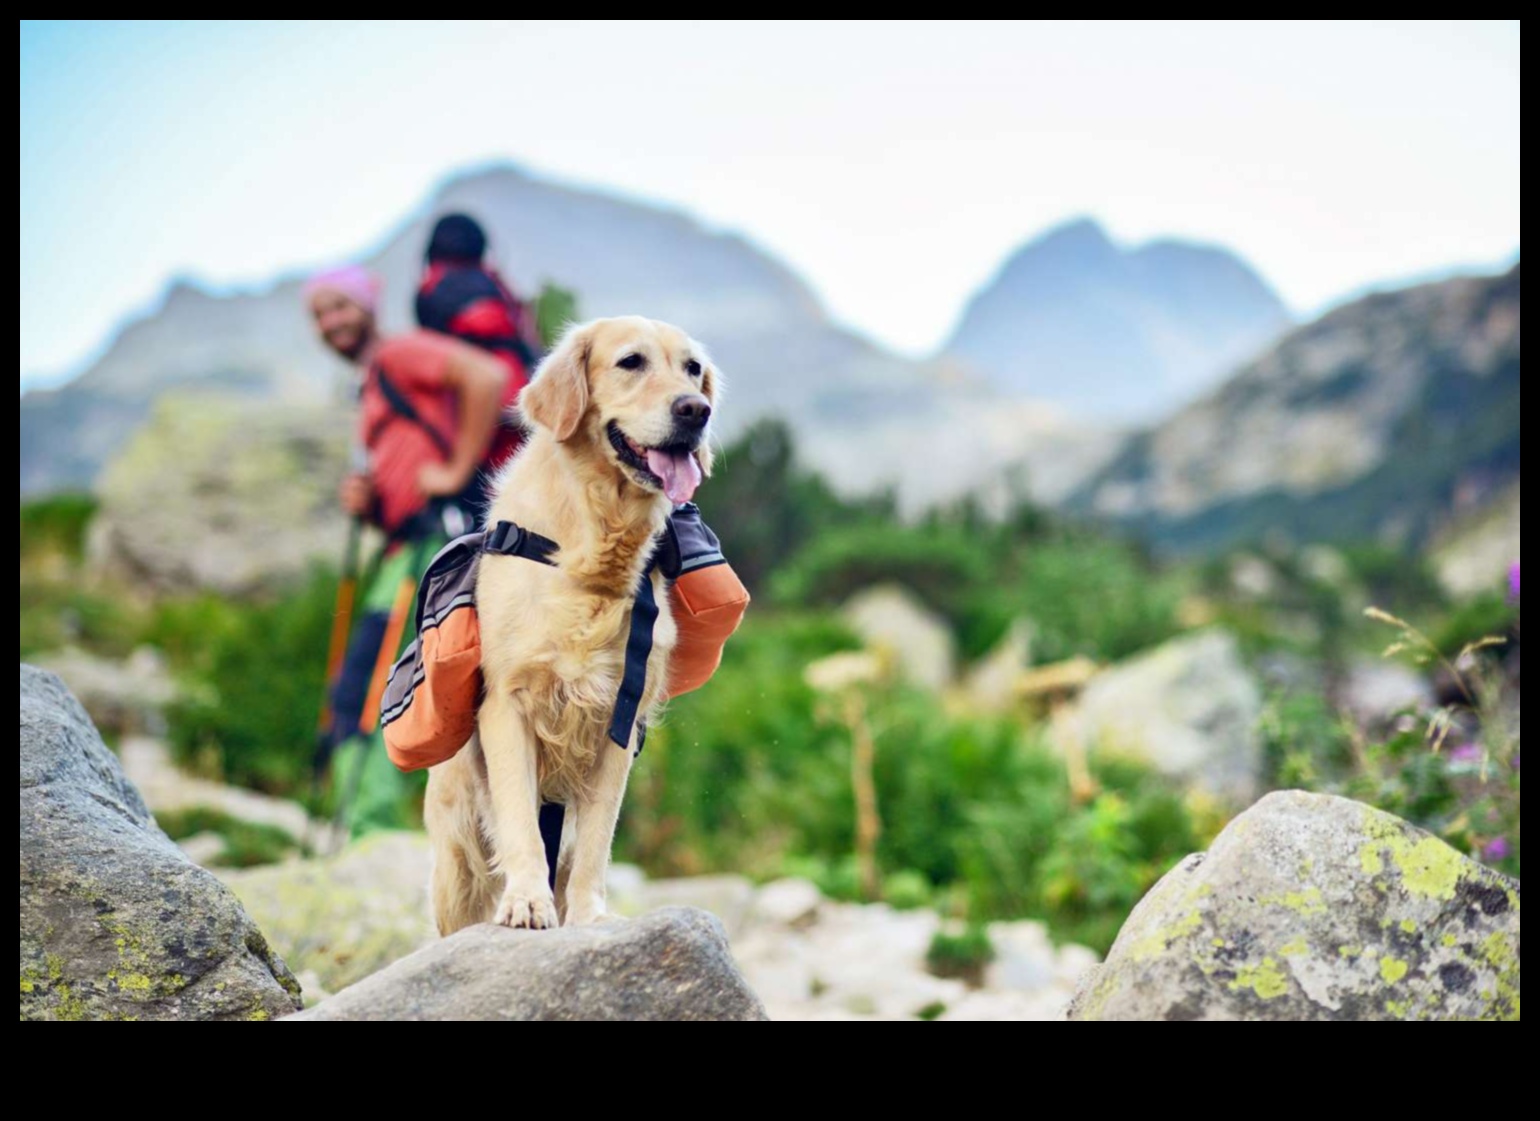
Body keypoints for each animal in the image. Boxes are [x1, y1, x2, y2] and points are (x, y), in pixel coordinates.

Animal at [425, 317, 717, 936]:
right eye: (631, 362)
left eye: (693, 370)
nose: (696, 410)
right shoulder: (506, 704)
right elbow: (521, 821)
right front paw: (527, 902)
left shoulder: (620, 718)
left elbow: (596, 843)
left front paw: (589, 915)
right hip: (456, 858)